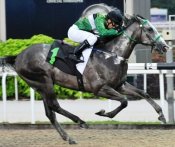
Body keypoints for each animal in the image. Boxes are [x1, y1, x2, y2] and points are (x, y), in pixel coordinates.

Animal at [0, 14, 169, 143]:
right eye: (149, 29)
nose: (165, 46)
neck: (111, 55)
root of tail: (18, 57)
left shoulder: (120, 85)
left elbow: (143, 93)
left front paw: (161, 115)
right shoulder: (99, 89)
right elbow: (124, 101)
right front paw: (103, 113)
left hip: (40, 86)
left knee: (50, 113)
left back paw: (68, 137)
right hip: (45, 82)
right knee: (54, 106)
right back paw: (80, 121)